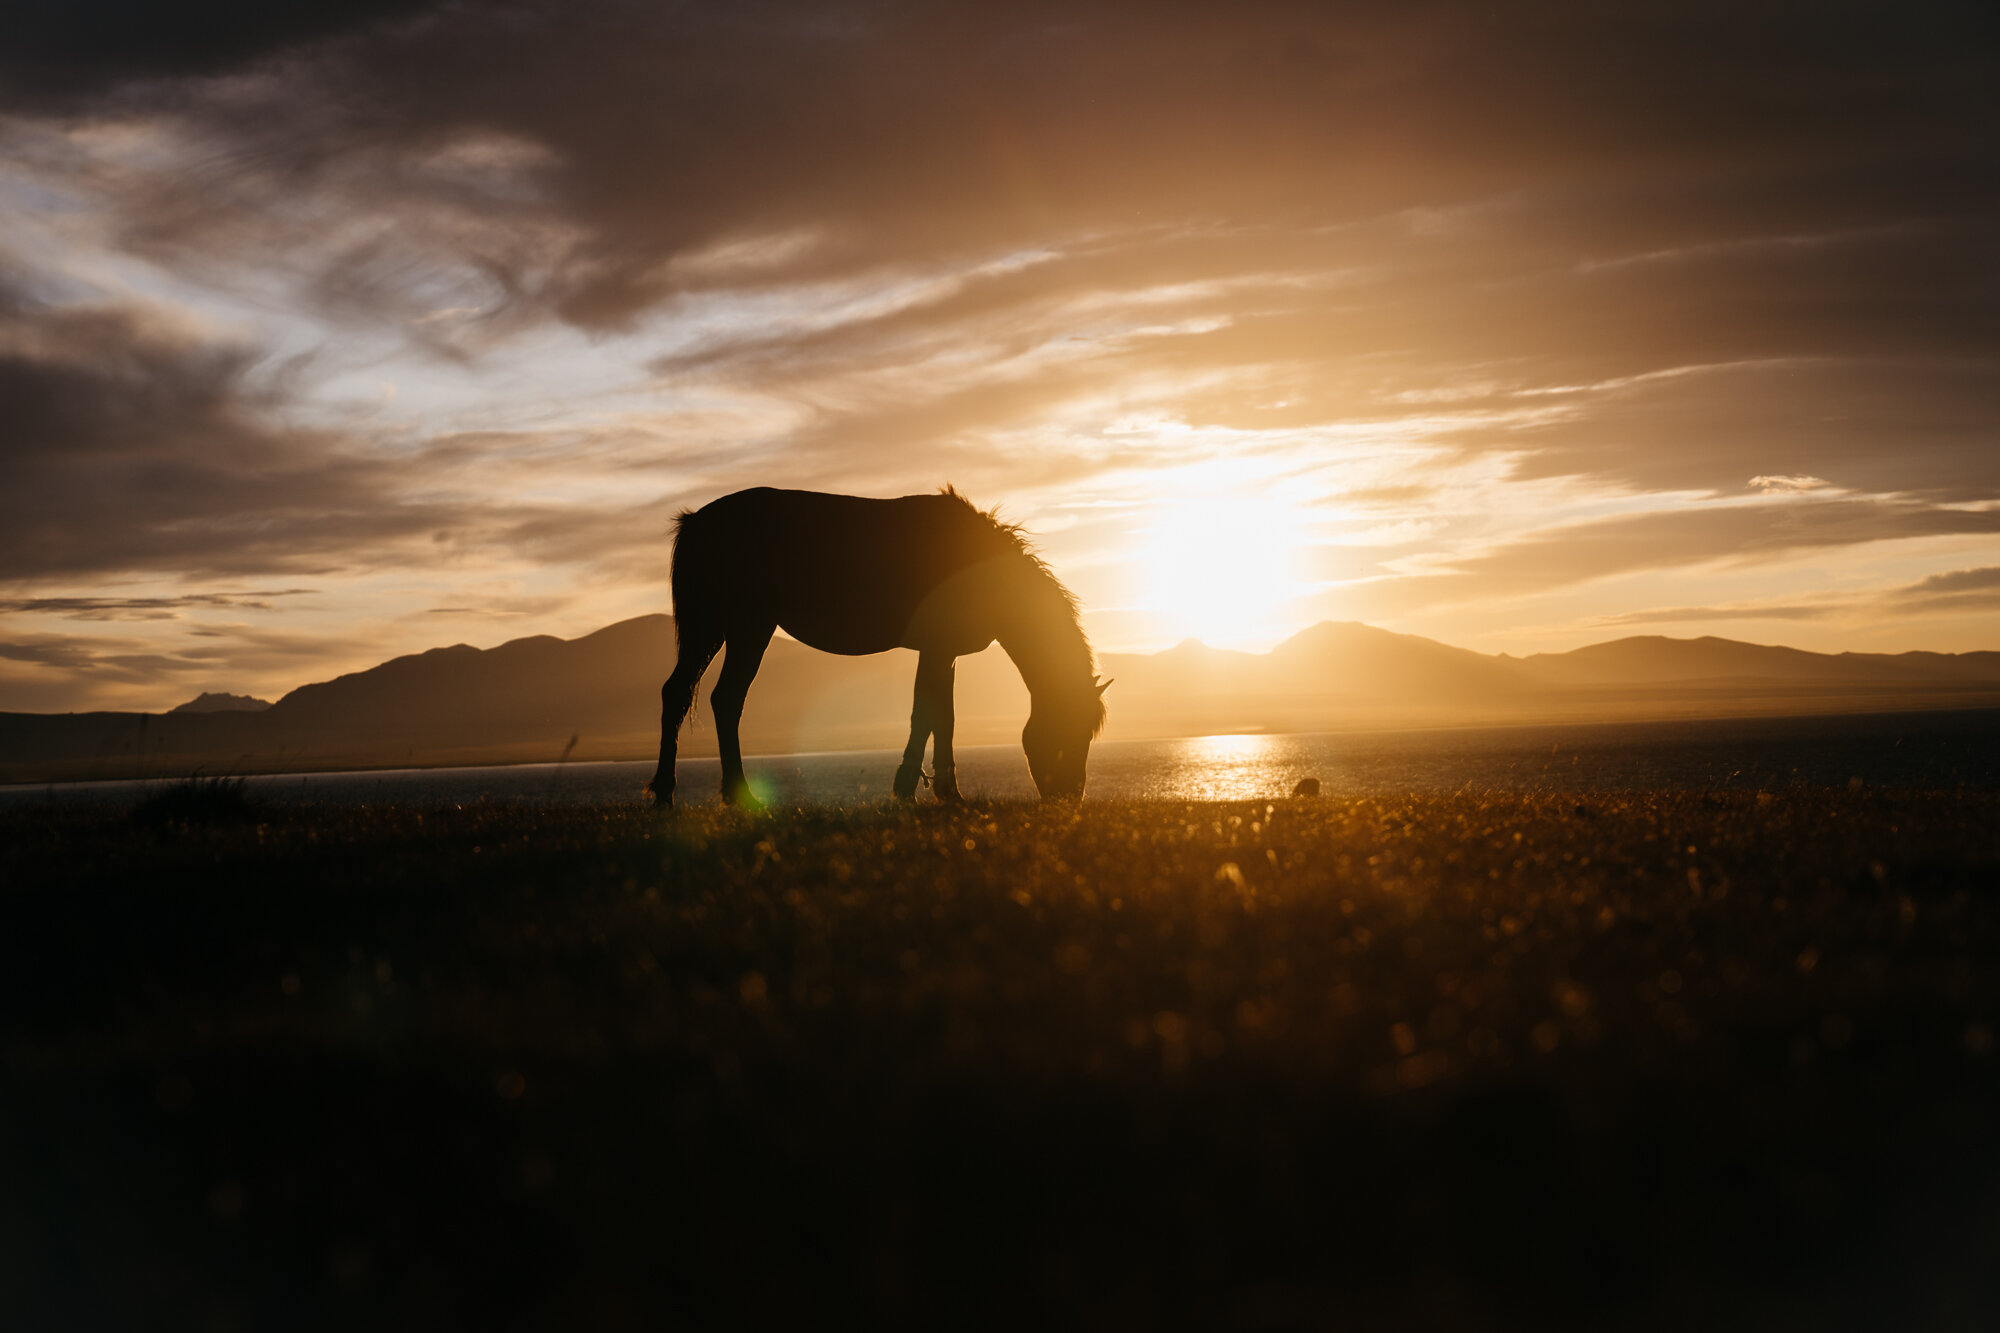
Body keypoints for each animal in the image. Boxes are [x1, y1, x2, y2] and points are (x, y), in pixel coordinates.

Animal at [648, 486, 1112, 804]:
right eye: (1069, 727)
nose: (1071, 797)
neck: (982, 567)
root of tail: (696, 521)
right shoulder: (937, 648)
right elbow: (927, 715)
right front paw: (913, 788)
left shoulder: (944, 653)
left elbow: (942, 716)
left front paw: (945, 792)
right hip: (747, 628)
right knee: (726, 700)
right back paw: (740, 795)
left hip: (710, 629)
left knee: (676, 693)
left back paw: (665, 793)